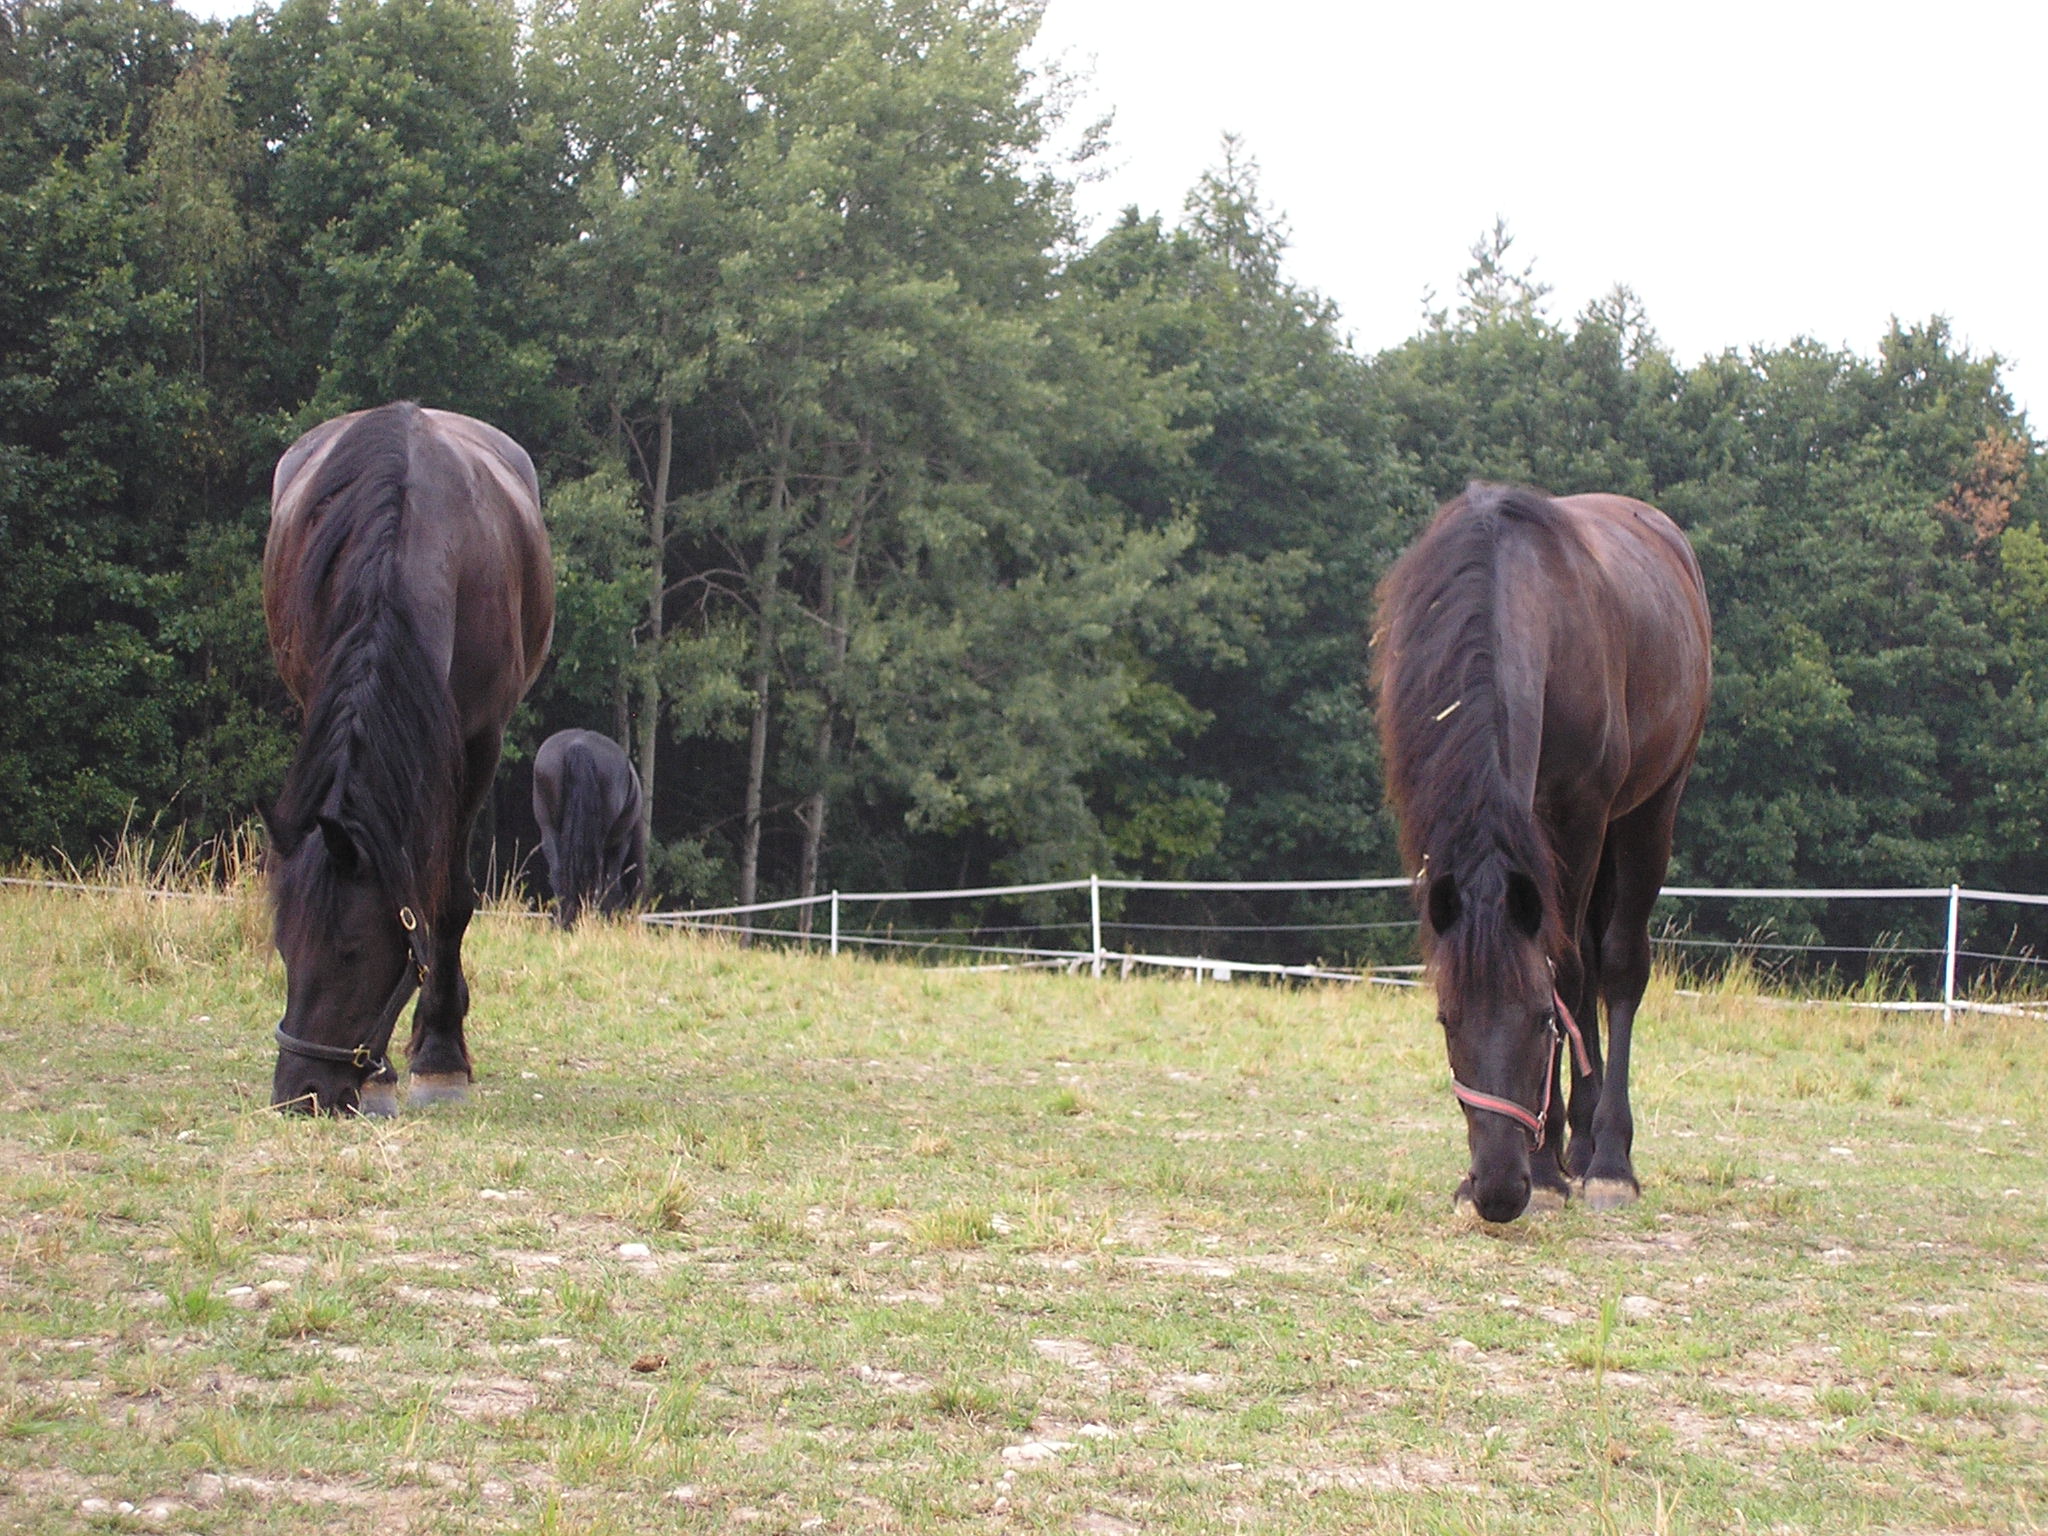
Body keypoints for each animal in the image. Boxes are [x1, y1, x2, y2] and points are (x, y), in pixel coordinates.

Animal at [260, 399, 557, 1122]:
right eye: (282, 945)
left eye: (353, 952)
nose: (300, 1094)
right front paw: (384, 1076)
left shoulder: (478, 742)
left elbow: (446, 901)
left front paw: (439, 1058)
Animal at [532, 729, 643, 933]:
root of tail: (579, 744)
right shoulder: (621, 844)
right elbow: (611, 884)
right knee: (597, 881)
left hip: (549, 831)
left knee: (559, 875)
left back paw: (562, 922)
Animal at [1376, 481, 1712, 1228]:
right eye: (1447, 1020)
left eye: (1537, 1023)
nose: (1499, 1192)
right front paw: (1545, 1160)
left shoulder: (1578, 813)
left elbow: (1568, 974)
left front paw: (1552, 1169)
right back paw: (1578, 1149)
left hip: (1649, 812)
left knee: (1615, 965)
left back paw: (1605, 1159)